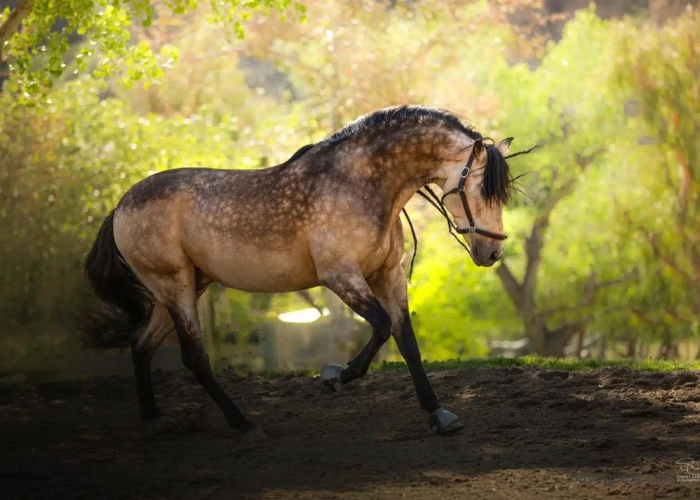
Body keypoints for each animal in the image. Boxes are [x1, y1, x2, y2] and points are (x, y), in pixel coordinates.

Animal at [80, 104, 520, 442]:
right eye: (480, 188)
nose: (493, 251)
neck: (360, 184)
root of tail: (121, 205)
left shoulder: (387, 275)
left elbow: (404, 338)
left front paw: (439, 414)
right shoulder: (340, 276)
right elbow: (380, 327)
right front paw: (335, 376)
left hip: (183, 286)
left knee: (141, 344)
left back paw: (155, 419)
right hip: (176, 286)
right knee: (194, 357)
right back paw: (244, 424)